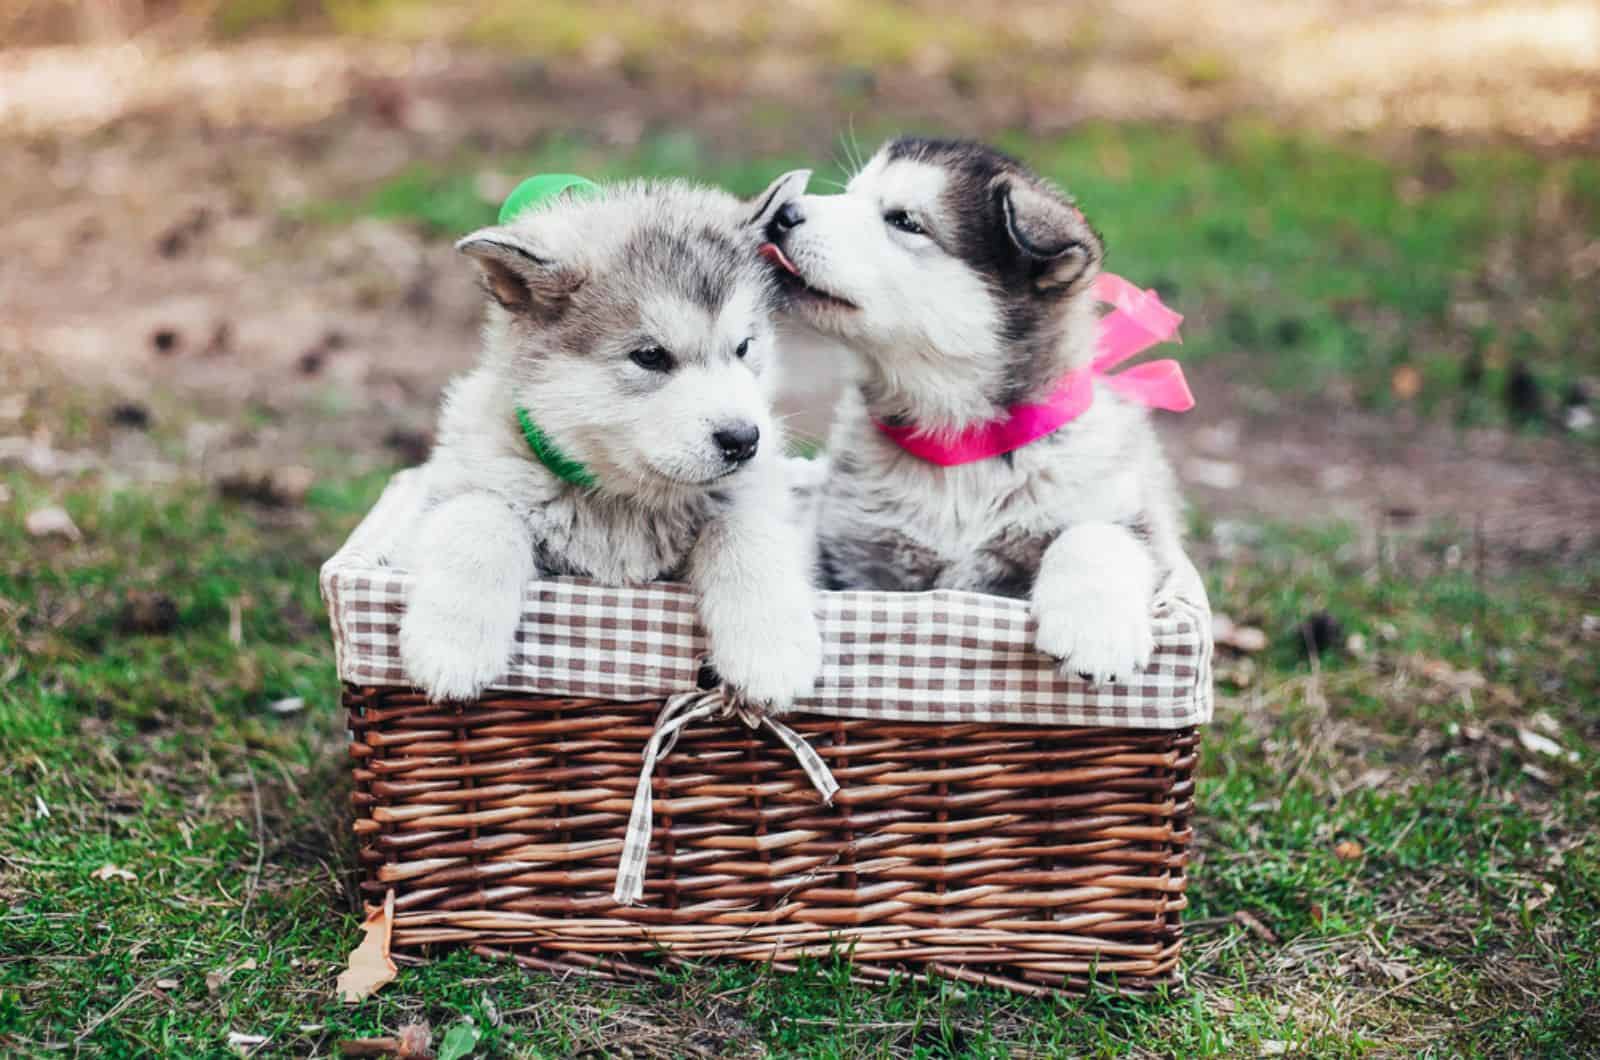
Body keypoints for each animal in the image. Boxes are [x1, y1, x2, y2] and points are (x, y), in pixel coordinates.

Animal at [393, 170, 825, 710]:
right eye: (650, 356)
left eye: (744, 347)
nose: (744, 440)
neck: (624, 505)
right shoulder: (459, 484)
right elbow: (479, 512)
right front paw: (452, 643)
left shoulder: (759, 500)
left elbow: (745, 530)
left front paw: (772, 651)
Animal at [755, 140, 1184, 685]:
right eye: (851, 192)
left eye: (904, 221)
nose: (782, 213)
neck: (962, 443)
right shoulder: (854, 557)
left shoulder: (1133, 515)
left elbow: (1096, 534)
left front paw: (1094, 632)